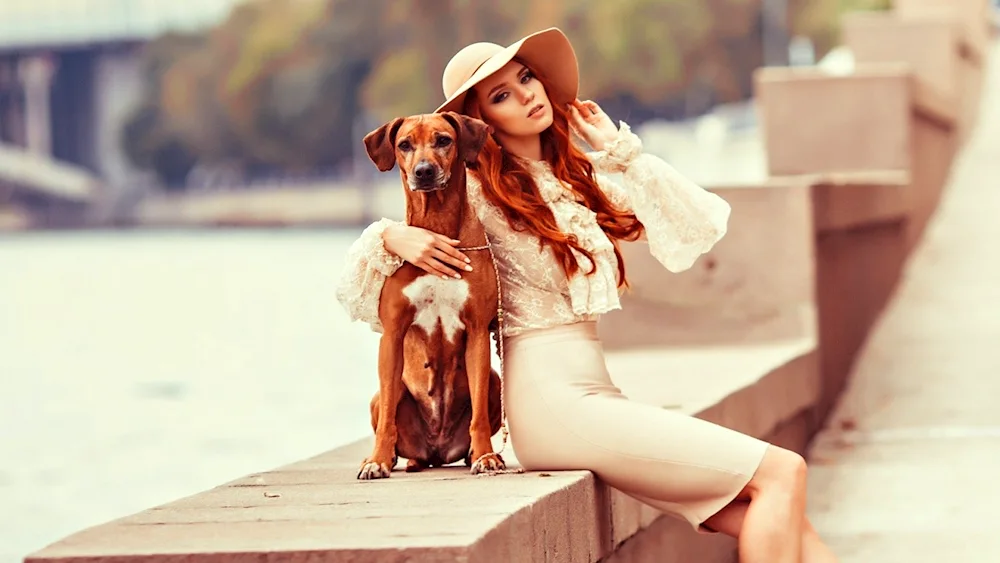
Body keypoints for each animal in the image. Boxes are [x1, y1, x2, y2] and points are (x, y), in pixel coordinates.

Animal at [358, 111, 504, 480]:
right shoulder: (392, 335)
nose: (423, 171)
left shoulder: (477, 331)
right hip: (379, 396)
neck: (435, 226)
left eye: (443, 140)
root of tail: (436, 451)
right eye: (404, 144)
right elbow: (387, 419)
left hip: (495, 382)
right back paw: (395, 459)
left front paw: (485, 456)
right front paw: (378, 460)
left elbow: (479, 415)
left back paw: (472, 453)